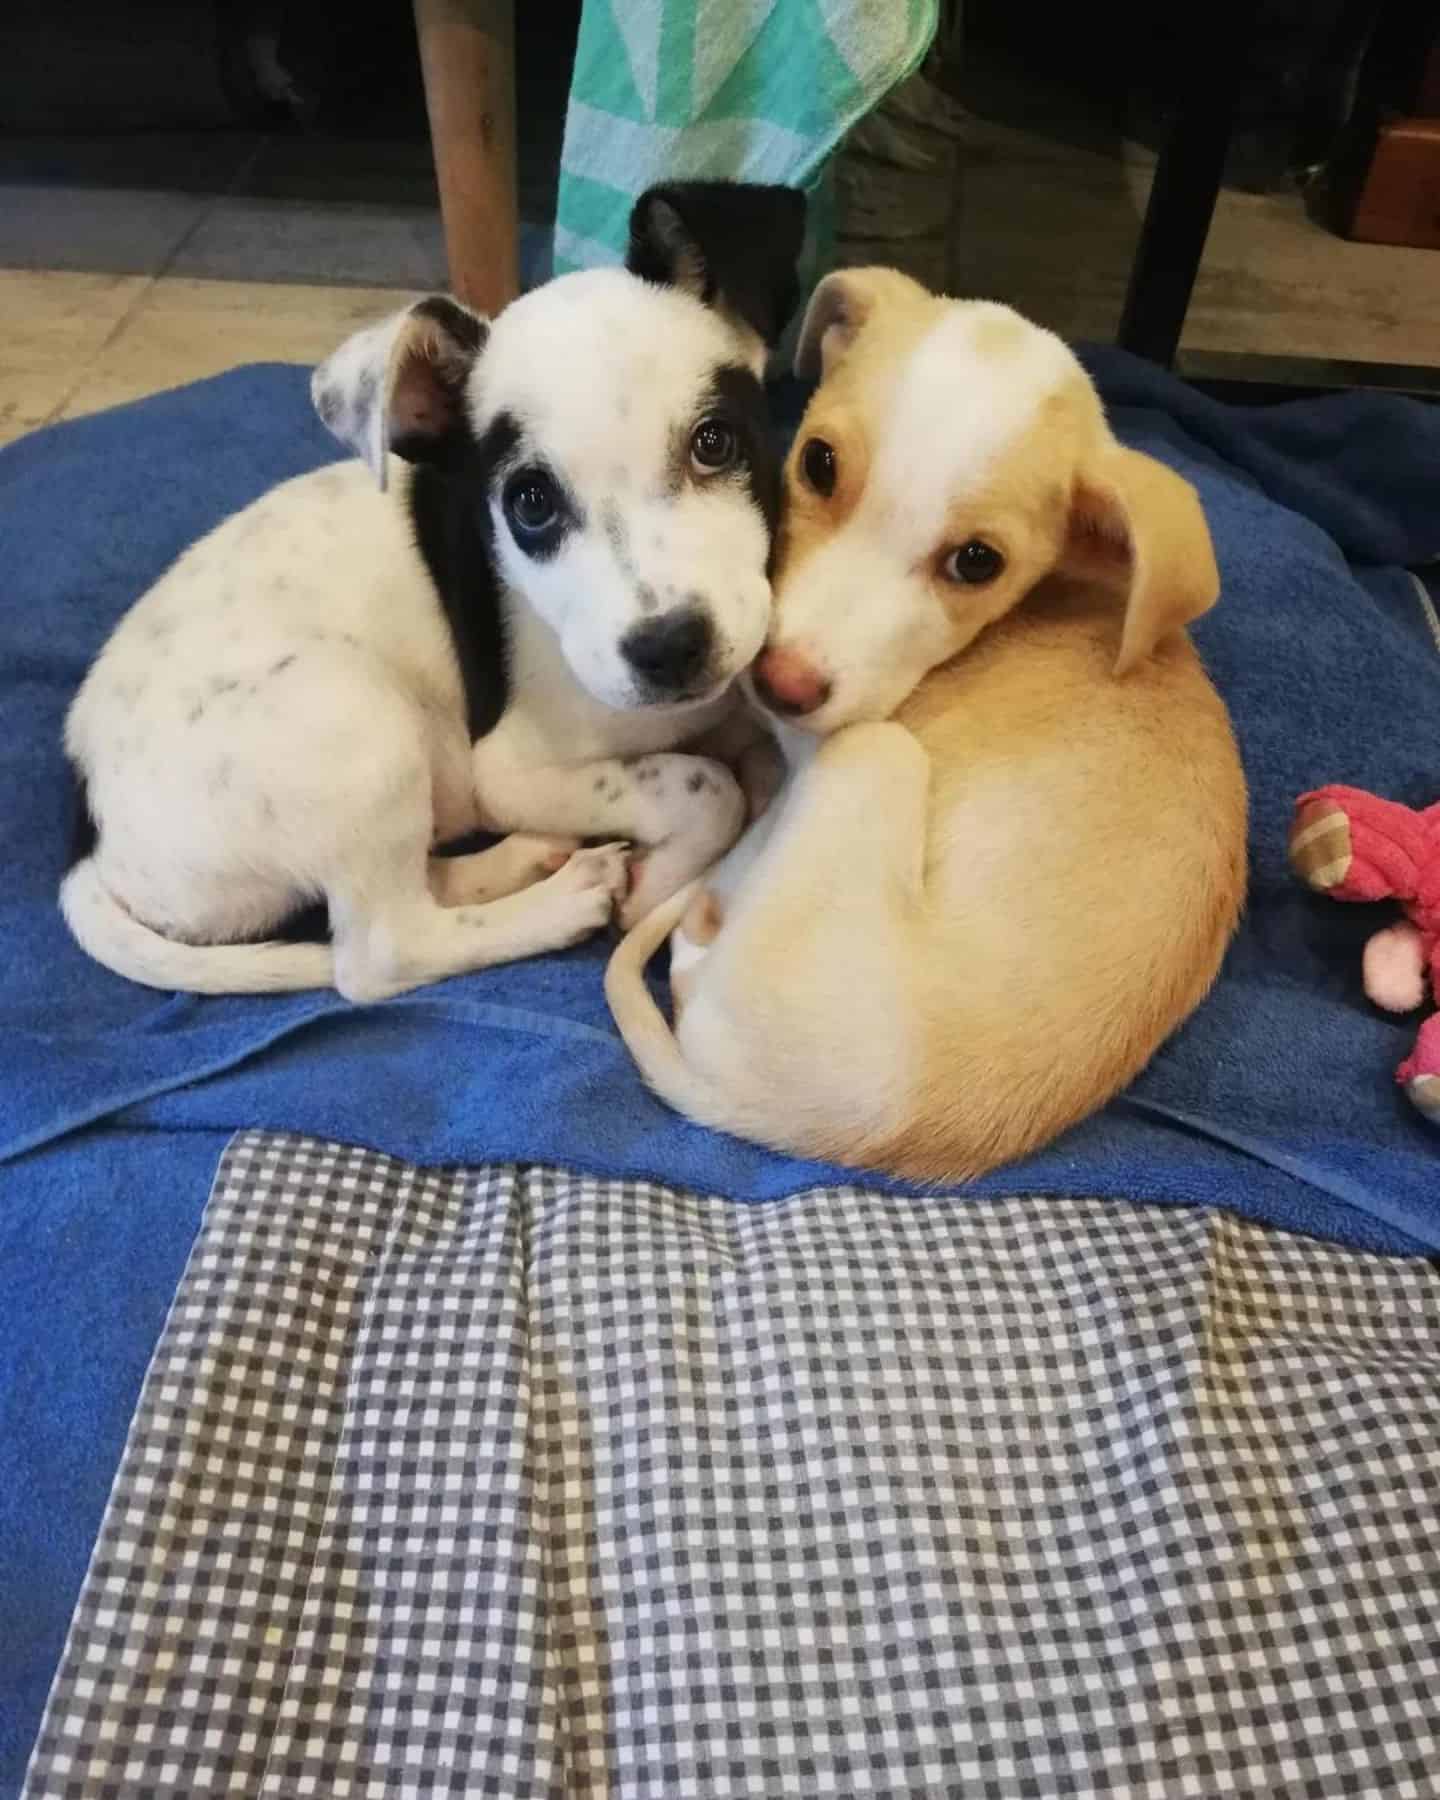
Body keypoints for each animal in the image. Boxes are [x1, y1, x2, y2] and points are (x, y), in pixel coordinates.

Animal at [62, 186, 802, 1000]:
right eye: (531, 503)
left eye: (714, 443)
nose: (669, 649)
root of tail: (94, 842)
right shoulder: (509, 769)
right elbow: (708, 788)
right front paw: (653, 885)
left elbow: (754, 770)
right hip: (355, 720)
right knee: (383, 949)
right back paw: (560, 898)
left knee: (419, 880)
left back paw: (526, 856)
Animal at [601, 266, 1245, 1180]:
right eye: (819, 462)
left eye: (977, 562)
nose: (779, 682)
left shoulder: (825, 747)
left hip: (876, 753)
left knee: (699, 950)